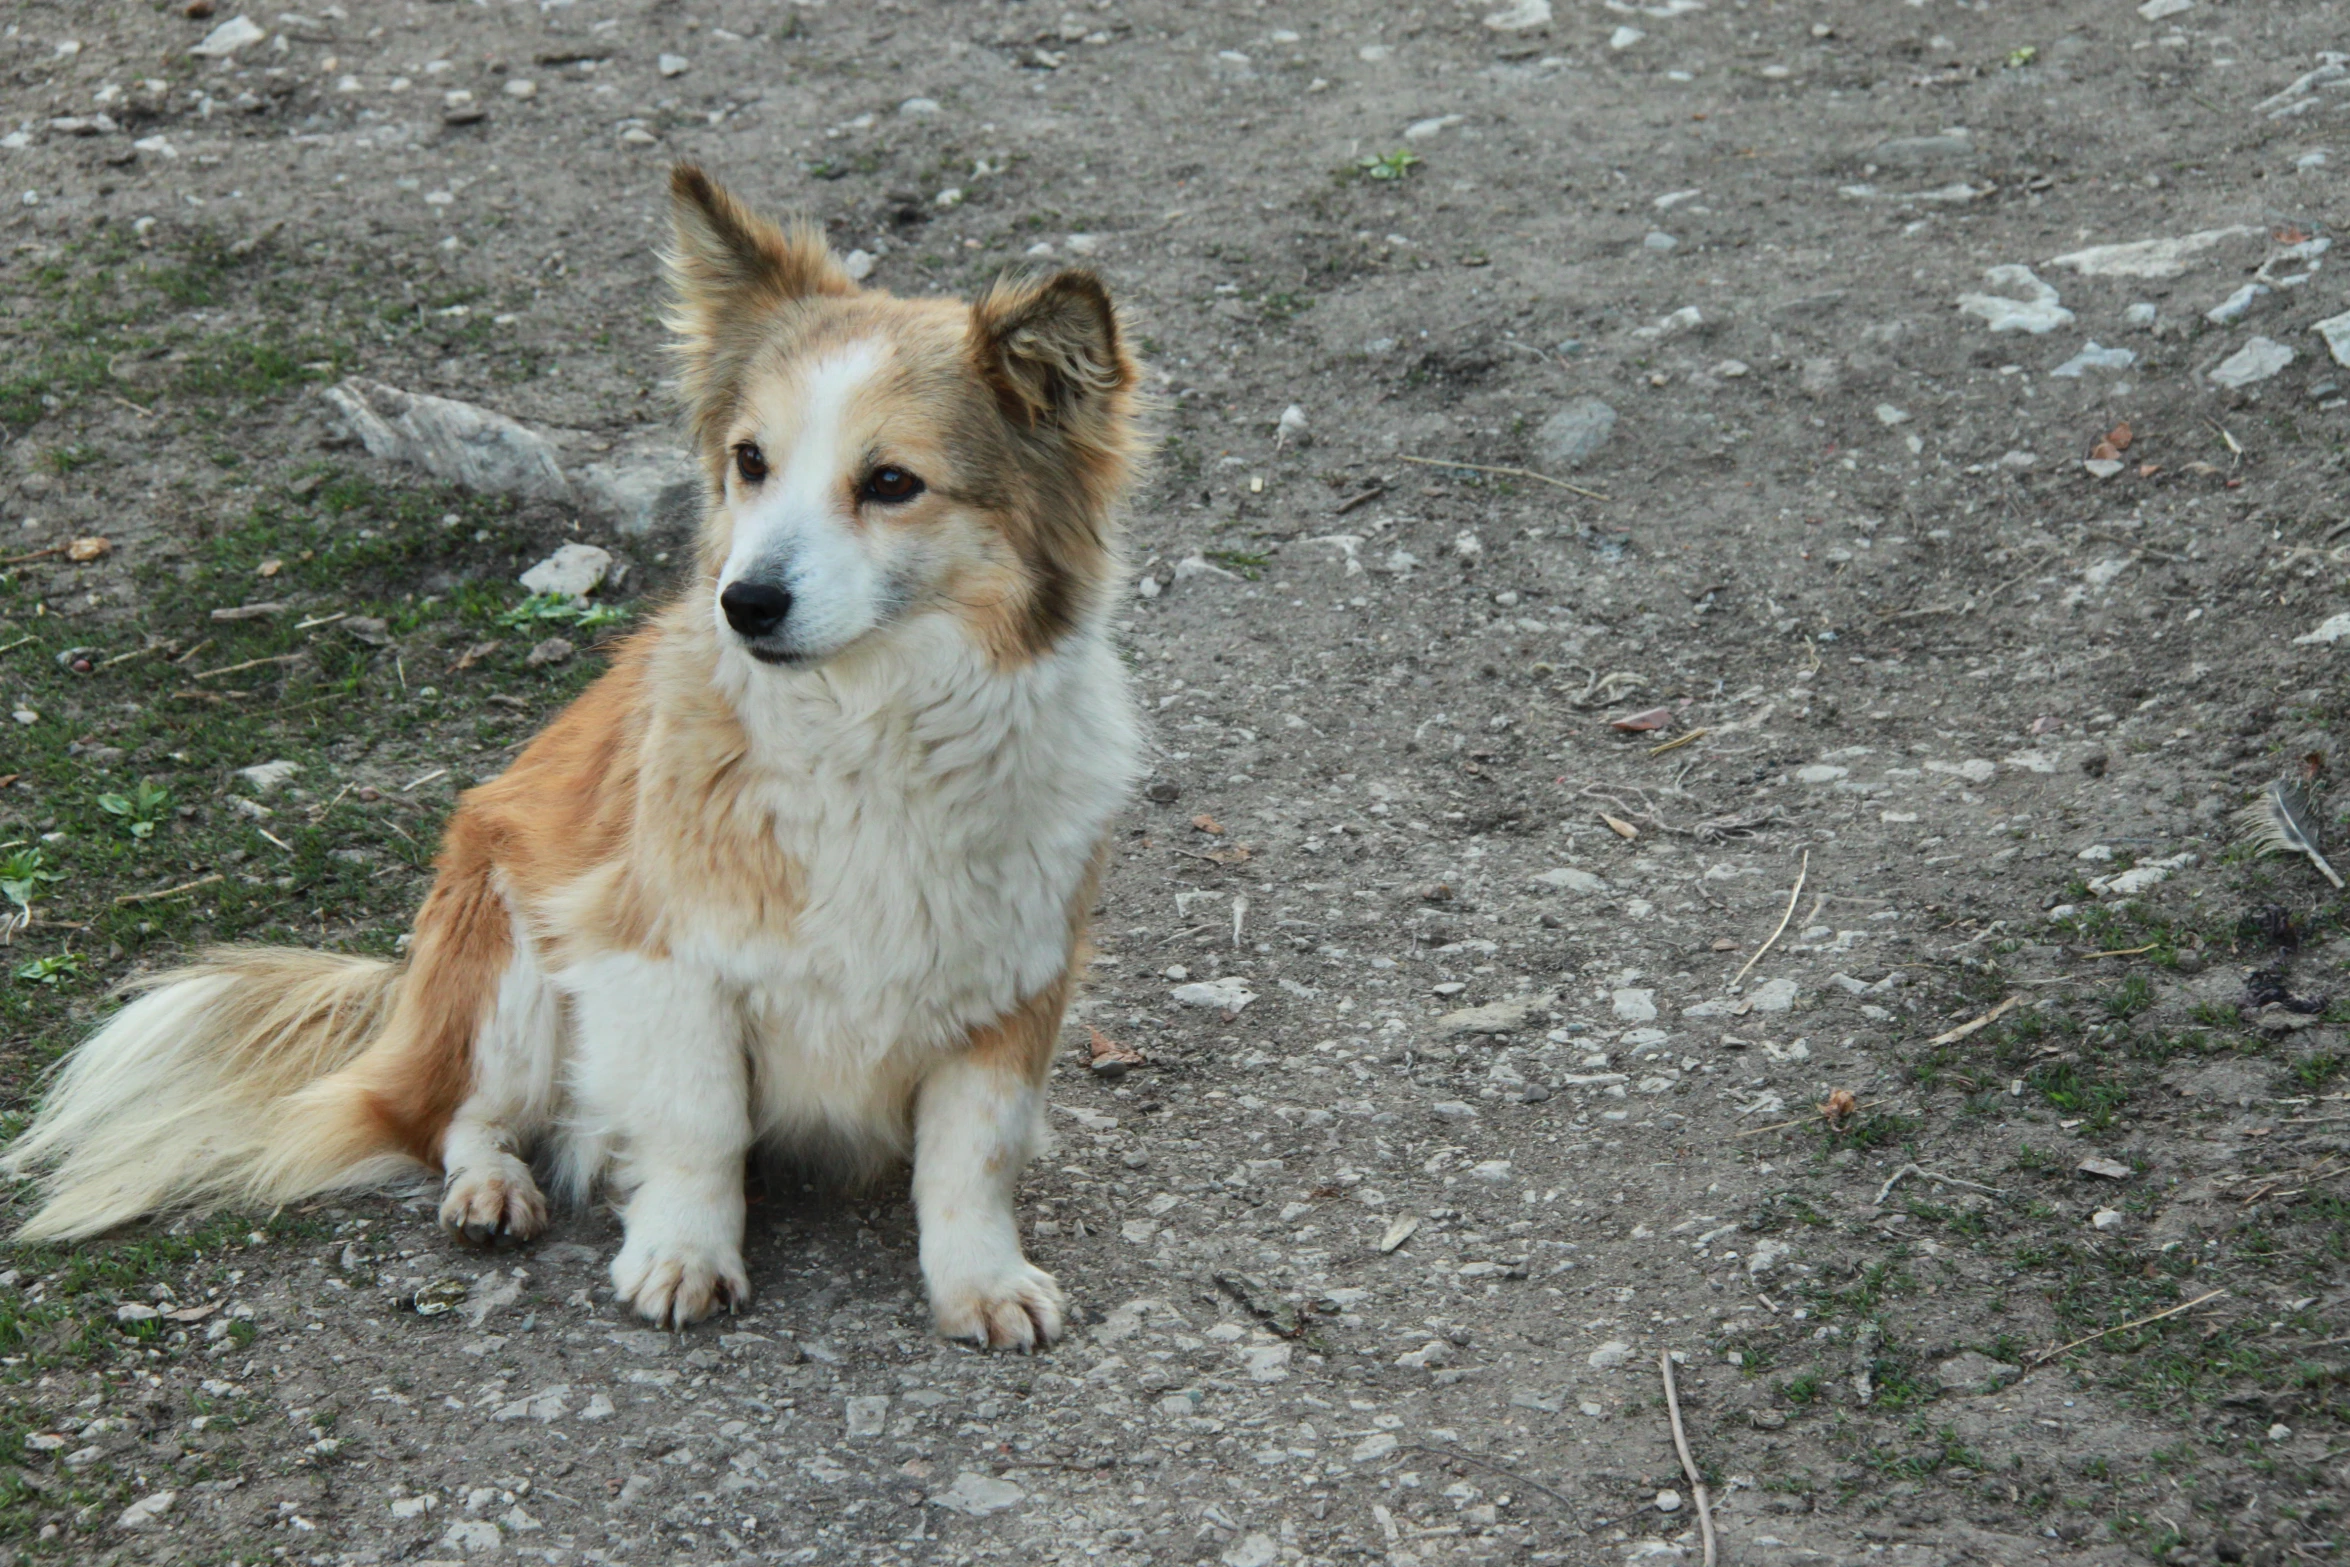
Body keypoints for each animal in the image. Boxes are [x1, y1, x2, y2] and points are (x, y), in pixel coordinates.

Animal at [0, 169, 1137, 1353]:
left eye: (892, 481)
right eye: (750, 461)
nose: (744, 603)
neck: (868, 724)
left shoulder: (1017, 974)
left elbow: (973, 1153)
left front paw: (981, 1280)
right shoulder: (651, 949)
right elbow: (697, 1121)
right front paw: (683, 1252)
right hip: (509, 946)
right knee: (454, 1117)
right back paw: (492, 1190)